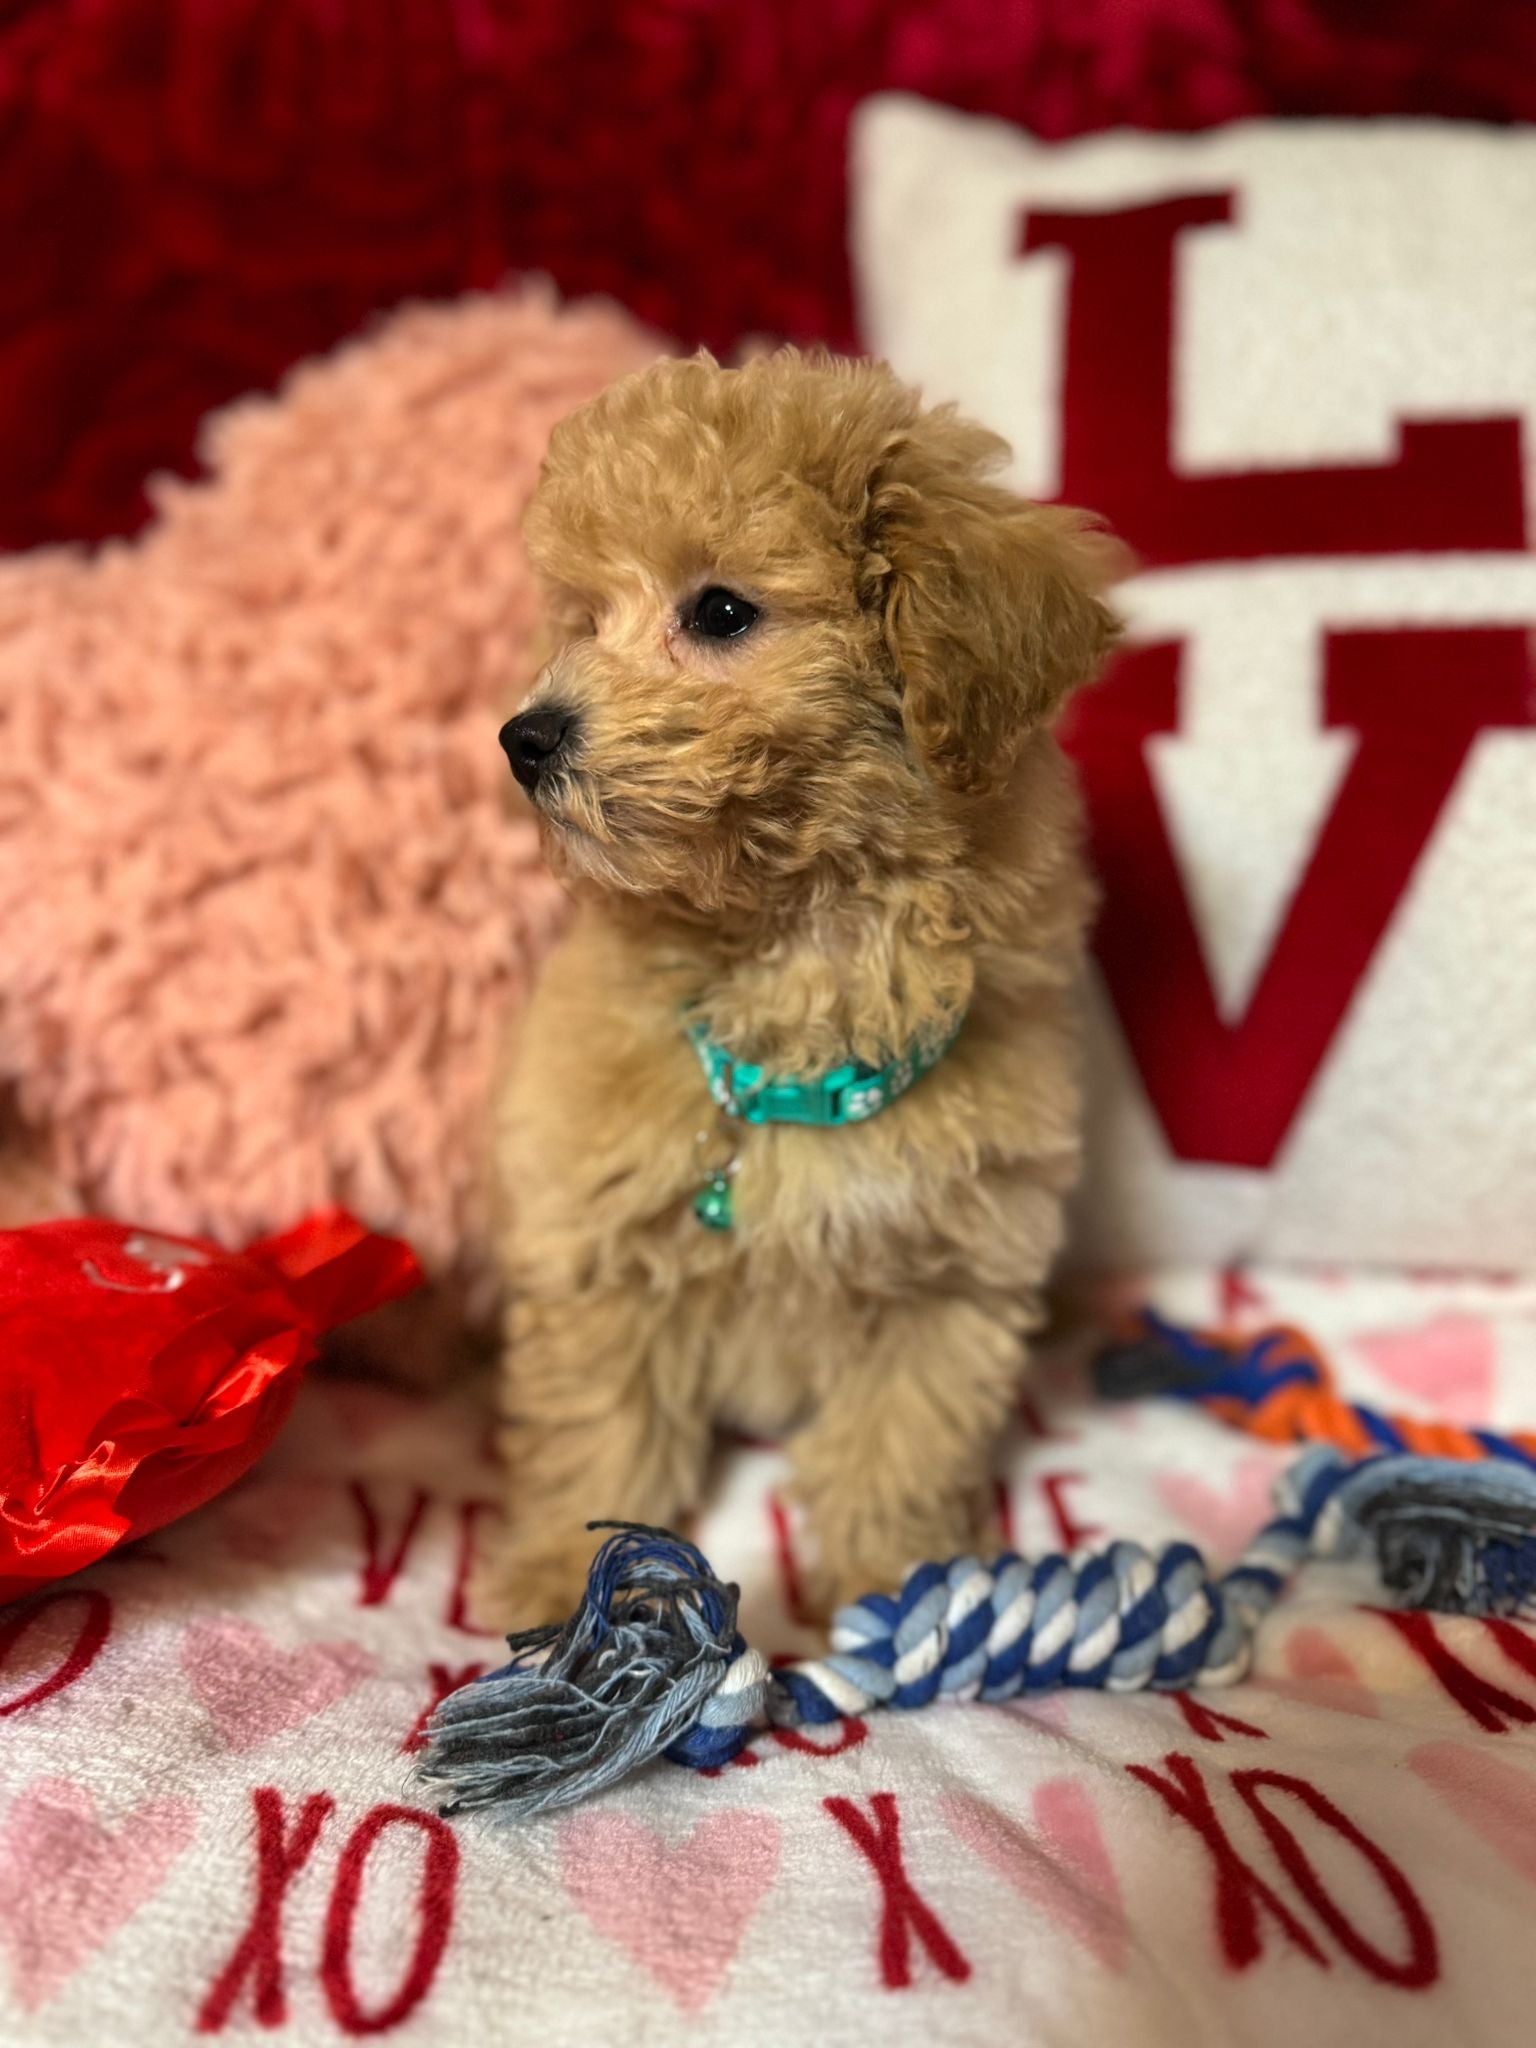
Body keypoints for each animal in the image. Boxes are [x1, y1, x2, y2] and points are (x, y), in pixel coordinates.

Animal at [481, 352, 1122, 1630]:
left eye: (721, 611)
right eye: (584, 619)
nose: (525, 737)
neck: (797, 938)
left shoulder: (953, 1265)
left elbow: (902, 1437)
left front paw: (893, 1584)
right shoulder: (599, 1239)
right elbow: (596, 1427)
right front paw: (559, 1590)